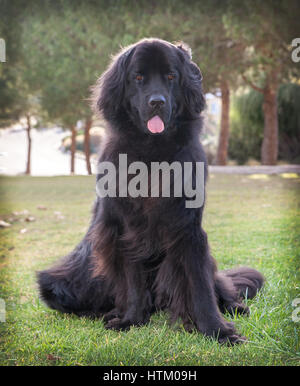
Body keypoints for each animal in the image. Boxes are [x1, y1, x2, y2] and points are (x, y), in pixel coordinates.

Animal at [37, 38, 262, 344]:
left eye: (171, 76)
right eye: (138, 77)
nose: (157, 102)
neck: (152, 152)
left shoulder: (188, 229)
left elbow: (200, 286)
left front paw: (218, 330)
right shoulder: (125, 229)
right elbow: (132, 281)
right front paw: (131, 319)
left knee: (219, 283)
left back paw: (234, 306)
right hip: (62, 279)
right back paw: (108, 312)